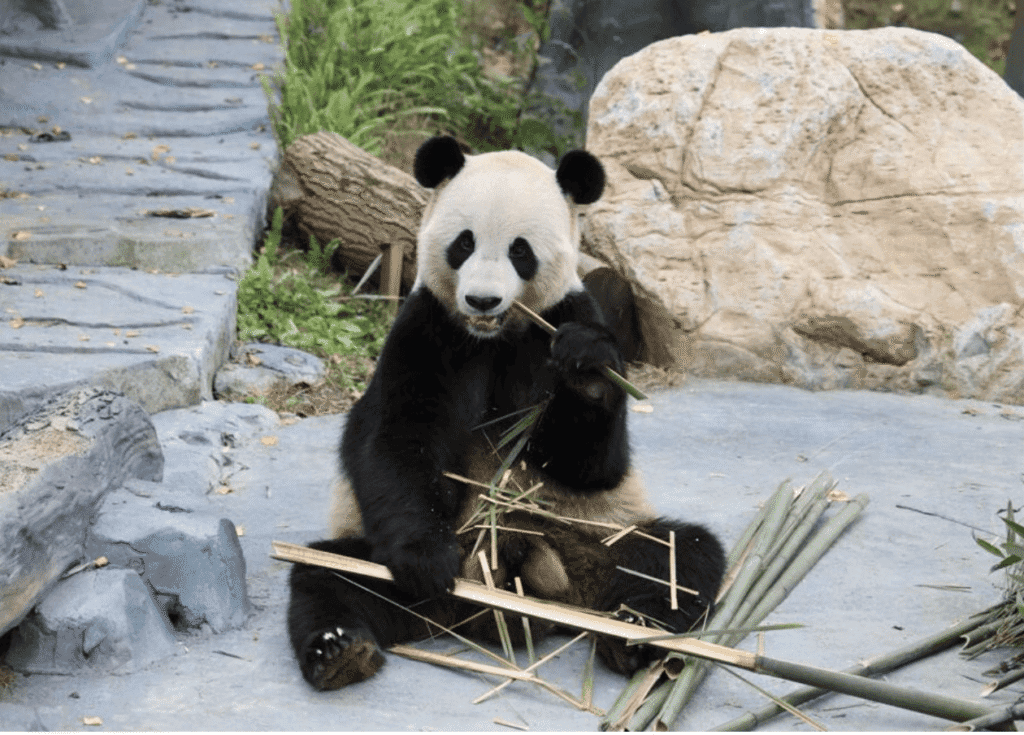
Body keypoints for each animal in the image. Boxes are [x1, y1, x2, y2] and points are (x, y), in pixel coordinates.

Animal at [287, 136, 726, 691]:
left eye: (521, 250)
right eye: (464, 243)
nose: (482, 299)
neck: (491, 337)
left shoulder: (567, 315)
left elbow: (592, 466)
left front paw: (585, 372)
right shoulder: (425, 329)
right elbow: (397, 440)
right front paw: (426, 561)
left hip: (602, 537)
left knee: (681, 558)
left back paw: (635, 637)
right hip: (386, 561)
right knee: (328, 576)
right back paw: (341, 650)